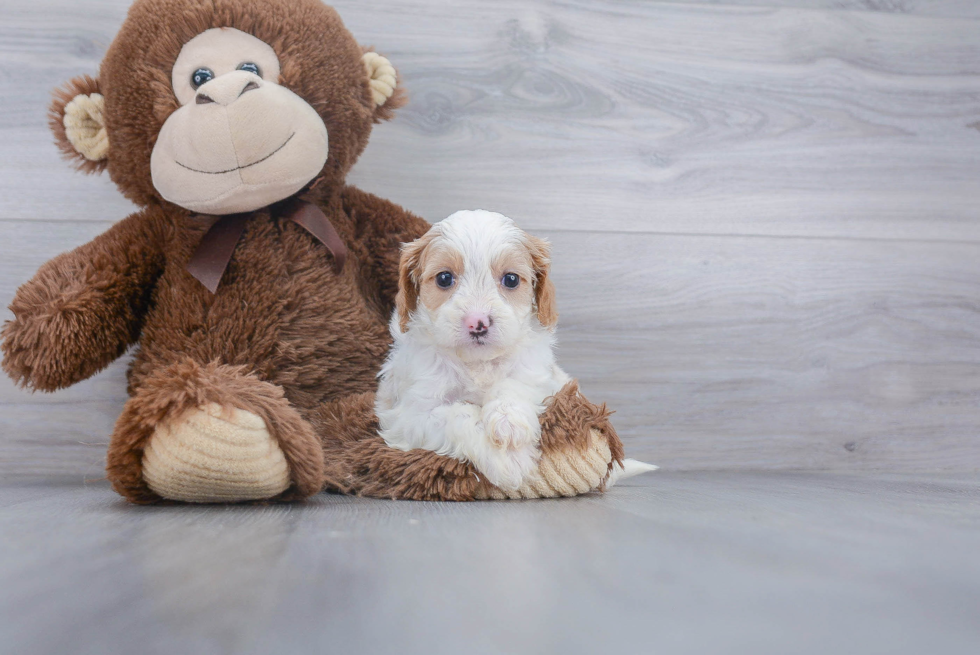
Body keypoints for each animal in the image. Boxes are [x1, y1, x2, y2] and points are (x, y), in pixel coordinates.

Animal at [378, 208, 572, 490]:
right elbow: (458, 415)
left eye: (511, 279)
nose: (477, 322)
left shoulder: (541, 378)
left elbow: (513, 384)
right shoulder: (411, 416)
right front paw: (507, 461)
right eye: (444, 278)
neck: (476, 363)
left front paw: (508, 421)